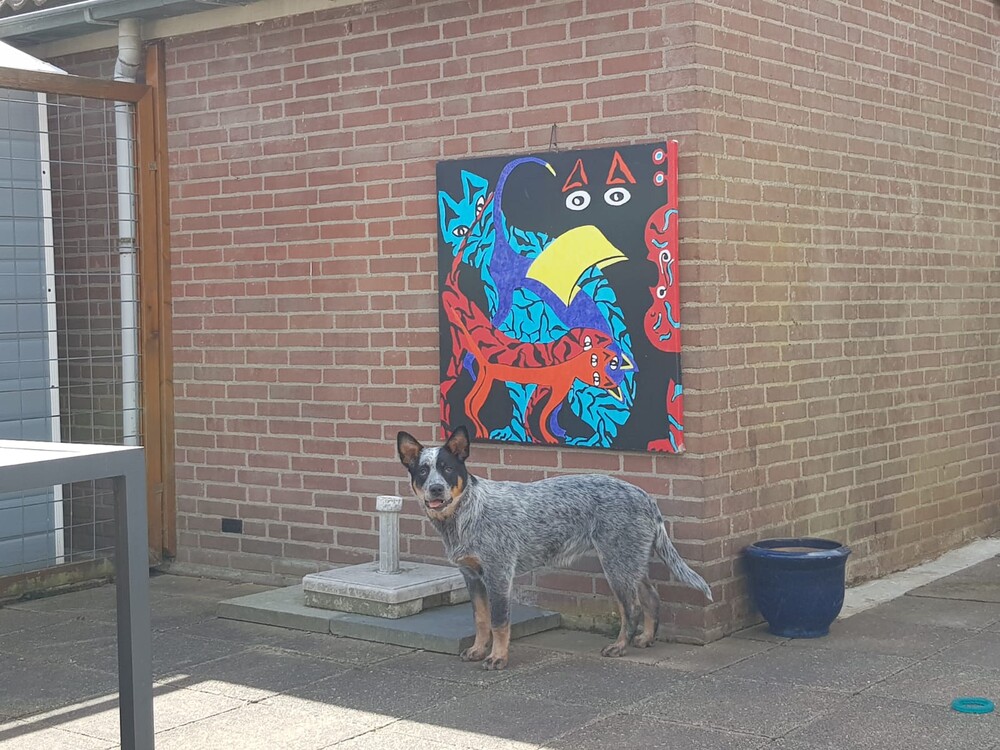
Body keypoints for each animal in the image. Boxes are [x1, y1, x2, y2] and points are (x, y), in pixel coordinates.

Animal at [396, 426, 712, 670]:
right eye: (422, 471)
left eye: (448, 468)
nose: (436, 489)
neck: (467, 513)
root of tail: (646, 498)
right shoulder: (472, 576)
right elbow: (481, 619)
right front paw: (477, 650)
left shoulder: (499, 575)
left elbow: (499, 622)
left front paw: (498, 658)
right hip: (630, 559)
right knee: (651, 597)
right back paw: (646, 638)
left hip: (616, 563)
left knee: (631, 607)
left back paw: (619, 646)